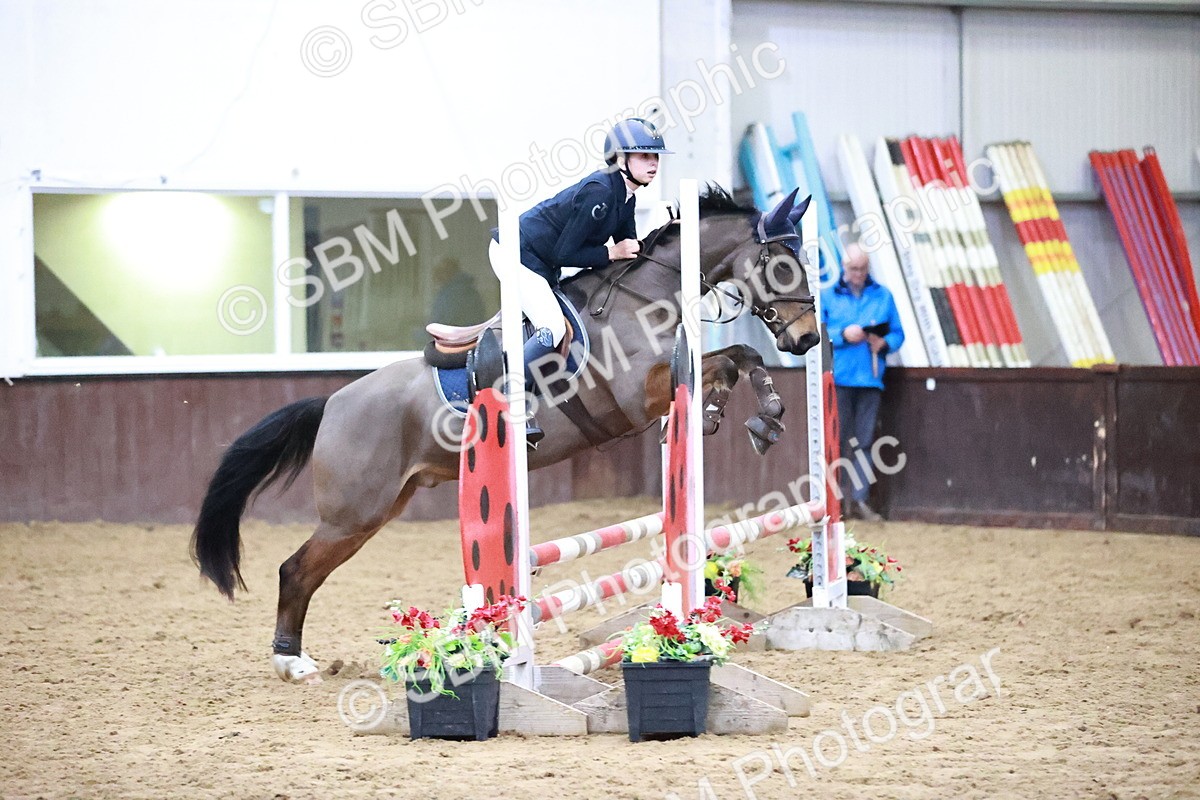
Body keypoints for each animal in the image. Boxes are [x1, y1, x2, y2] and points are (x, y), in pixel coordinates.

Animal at [191, 185, 819, 683]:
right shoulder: (637, 395)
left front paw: (756, 418)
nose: (809, 338)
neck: (646, 297)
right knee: (295, 570)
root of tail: (332, 404)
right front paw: (737, 414)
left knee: (305, 571)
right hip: (354, 513)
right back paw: (290, 662)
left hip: (383, 506)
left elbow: (739, 357)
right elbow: (727, 361)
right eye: (783, 265)